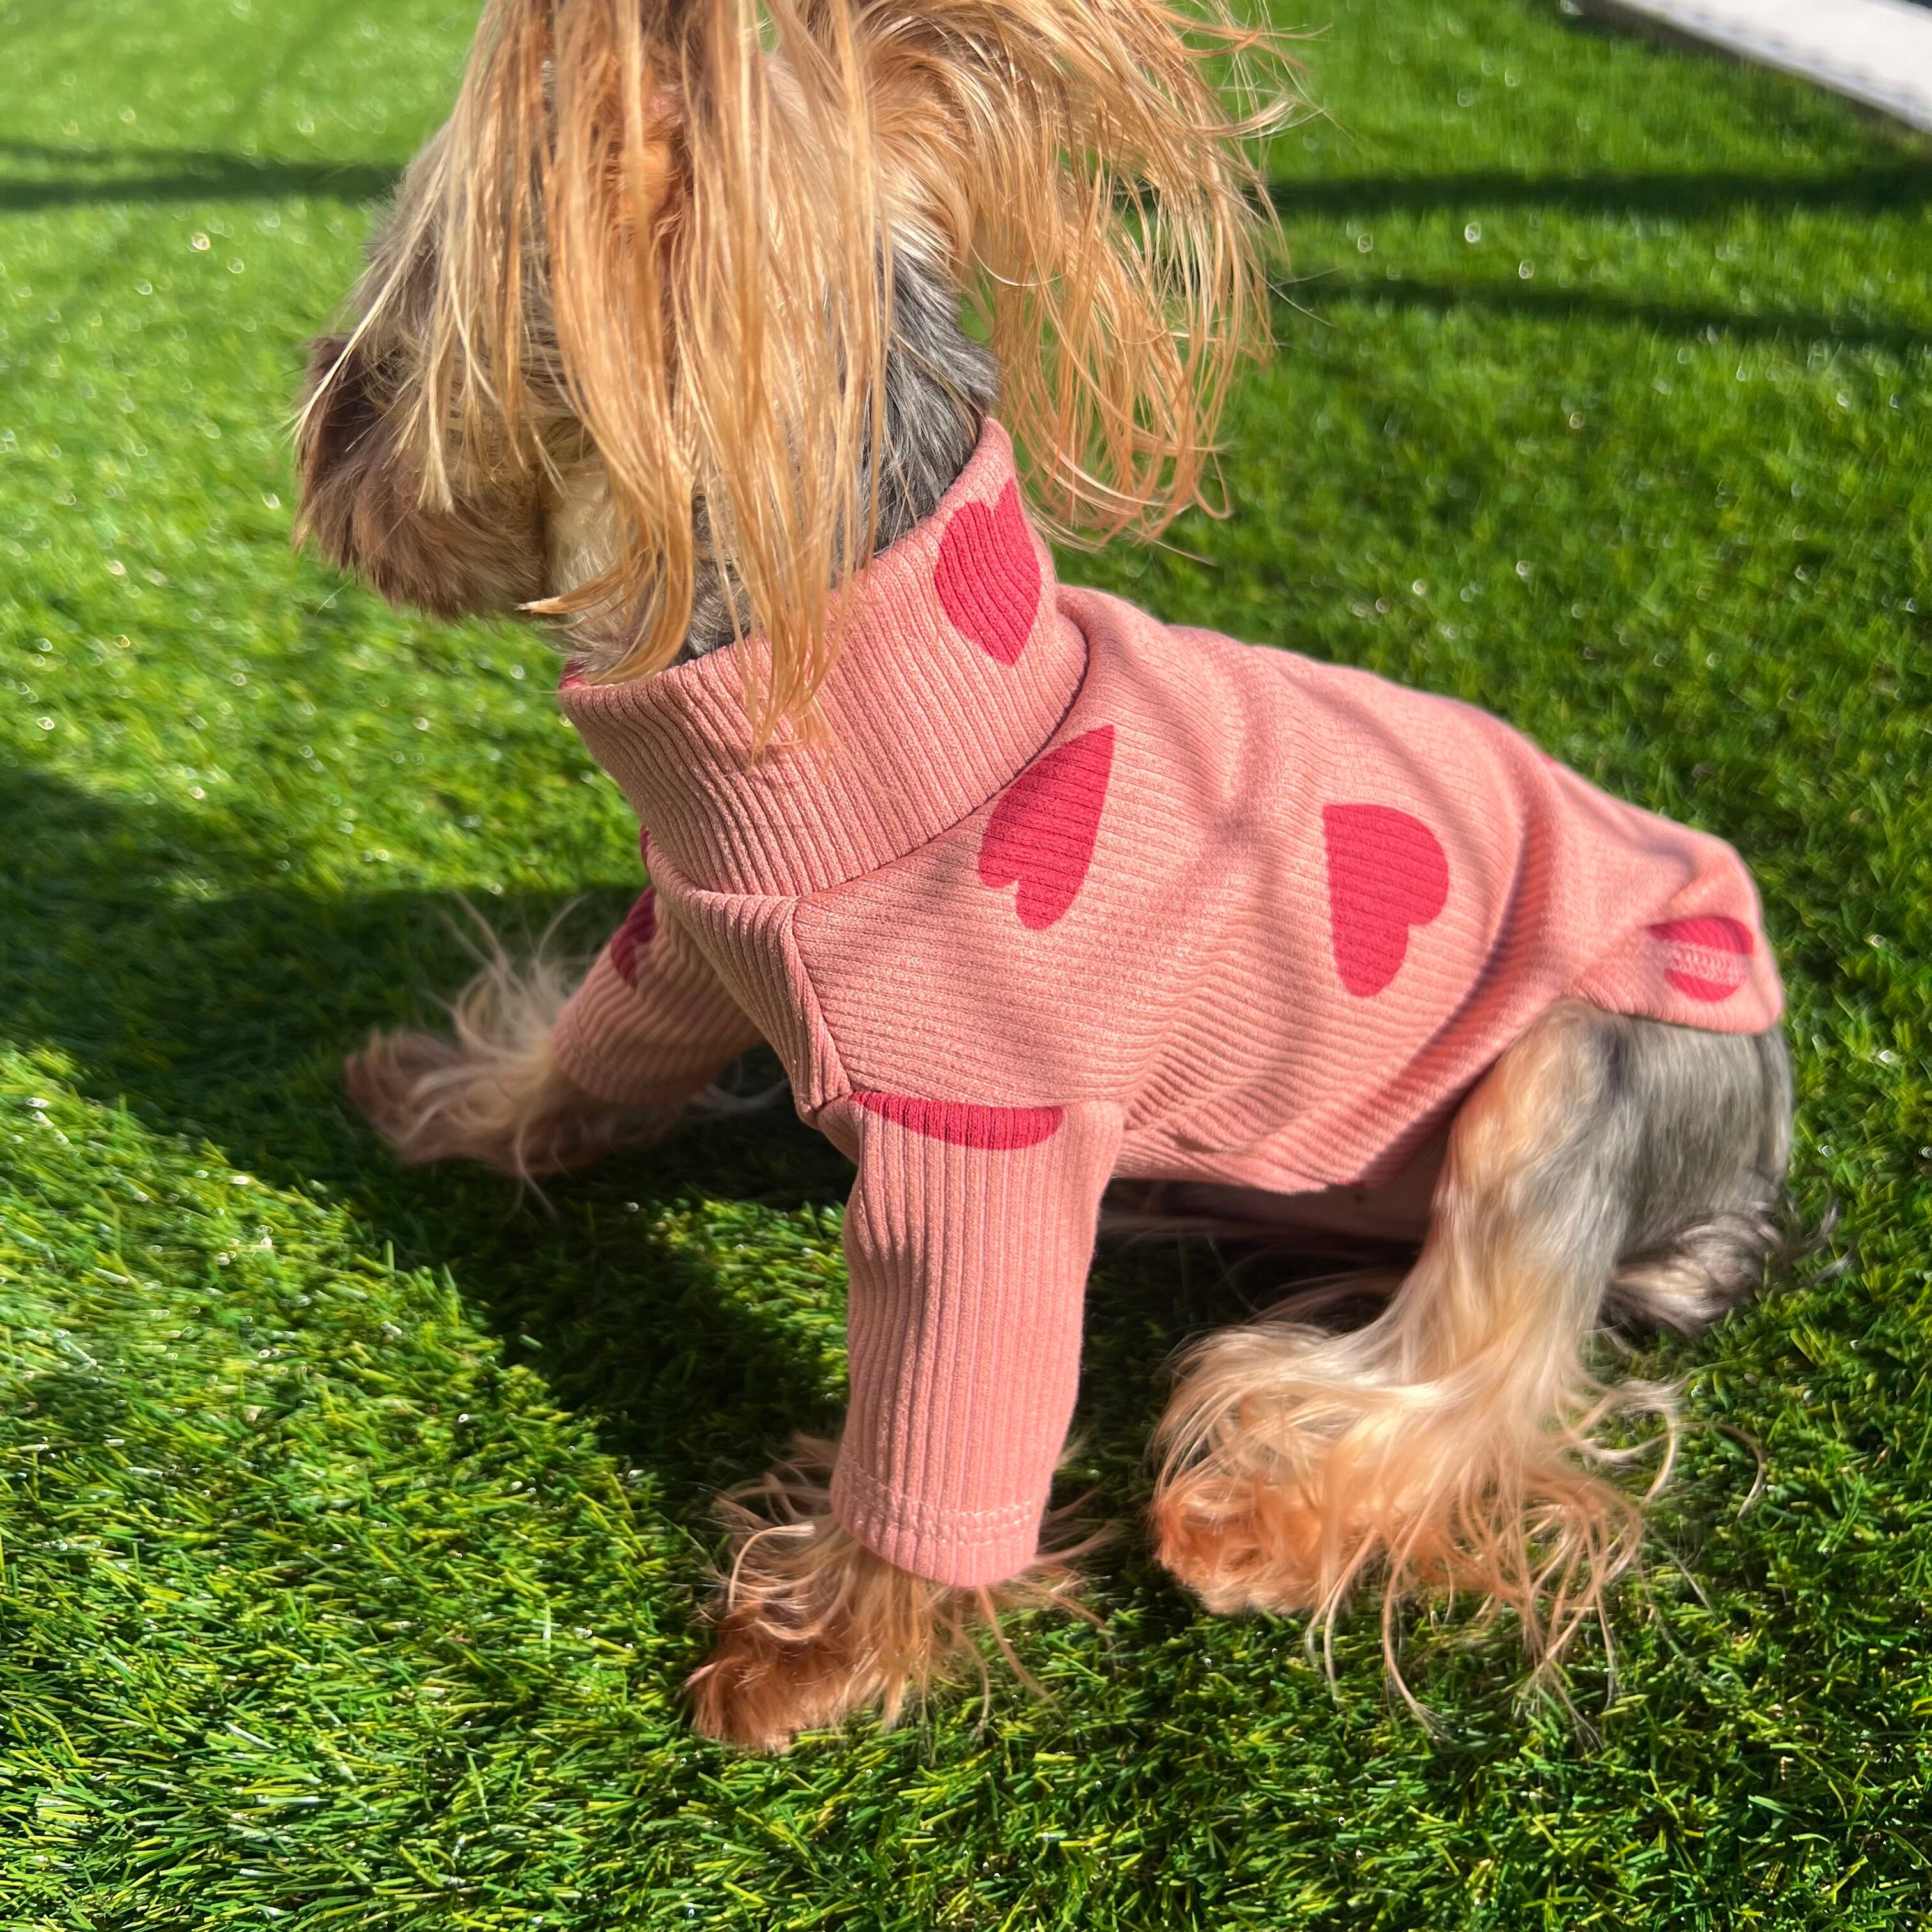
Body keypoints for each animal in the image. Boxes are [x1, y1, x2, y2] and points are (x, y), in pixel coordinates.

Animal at [294, 0, 1792, 1752]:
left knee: (1489, 1363)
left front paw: (825, 1649)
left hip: (1600, 1061)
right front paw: (466, 1102)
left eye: (398, 336)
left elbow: (951, 1418)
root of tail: (1759, 1159)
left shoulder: (990, 1142)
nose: (312, 421)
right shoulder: (694, 940)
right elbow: (602, 1046)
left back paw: (1259, 1520)